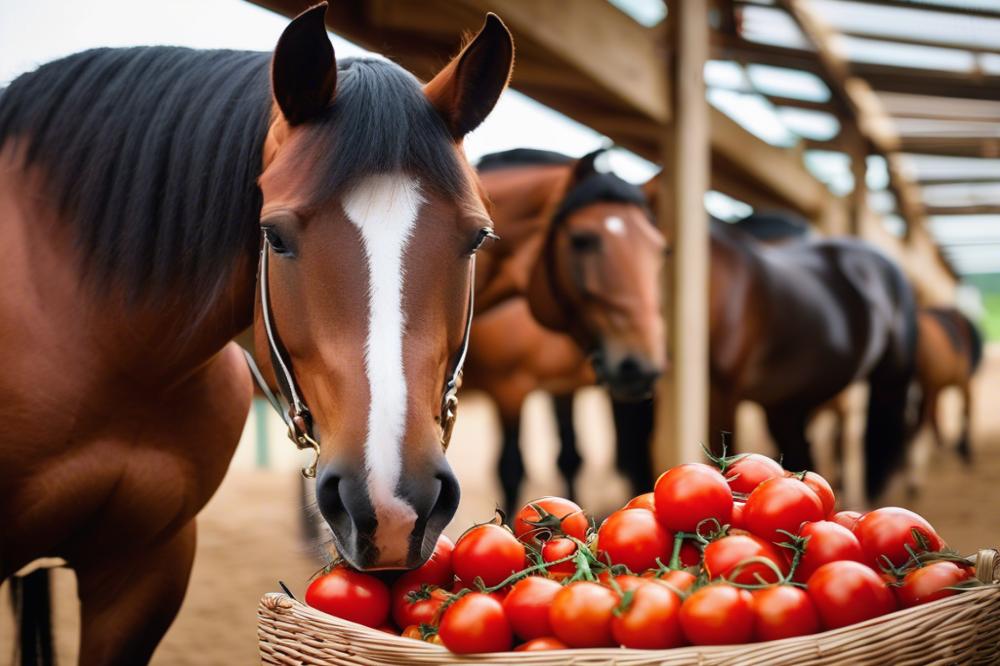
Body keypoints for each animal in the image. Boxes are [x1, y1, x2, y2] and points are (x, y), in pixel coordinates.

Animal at [460, 149, 664, 512]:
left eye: (659, 248)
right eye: (582, 241)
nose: (640, 365)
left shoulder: (546, 387)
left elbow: (562, 459)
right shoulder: (509, 389)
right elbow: (511, 470)